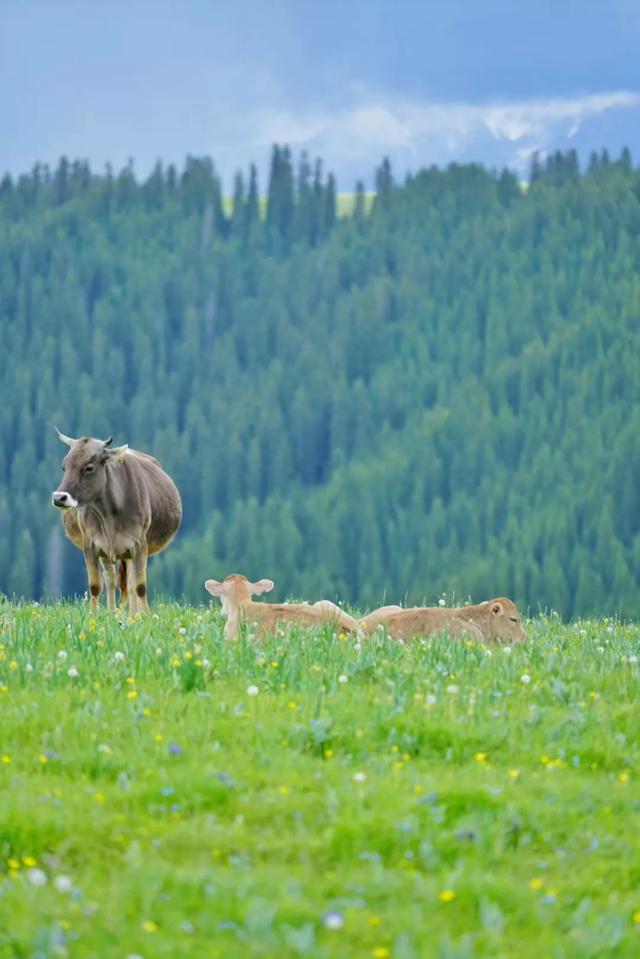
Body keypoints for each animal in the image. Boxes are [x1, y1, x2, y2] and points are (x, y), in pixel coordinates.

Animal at [51, 430, 181, 616]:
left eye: (89, 467)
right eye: (64, 466)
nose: (59, 498)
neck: (109, 516)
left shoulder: (139, 544)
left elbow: (140, 587)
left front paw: (147, 617)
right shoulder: (90, 544)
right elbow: (95, 586)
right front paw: (94, 616)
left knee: (131, 584)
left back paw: (133, 616)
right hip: (108, 552)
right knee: (111, 579)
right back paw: (112, 613)